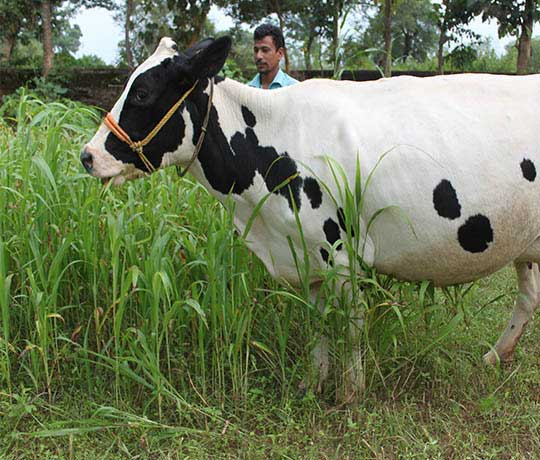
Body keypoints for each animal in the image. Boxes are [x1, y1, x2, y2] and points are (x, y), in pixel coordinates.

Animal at [81, 36, 540, 400]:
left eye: (142, 92)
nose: (88, 156)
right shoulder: (305, 256)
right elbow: (317, 324)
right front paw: (312, 384)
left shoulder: (344, 254)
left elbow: (350, 326)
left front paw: (350, 394)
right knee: (528, 297)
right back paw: (495, 355)